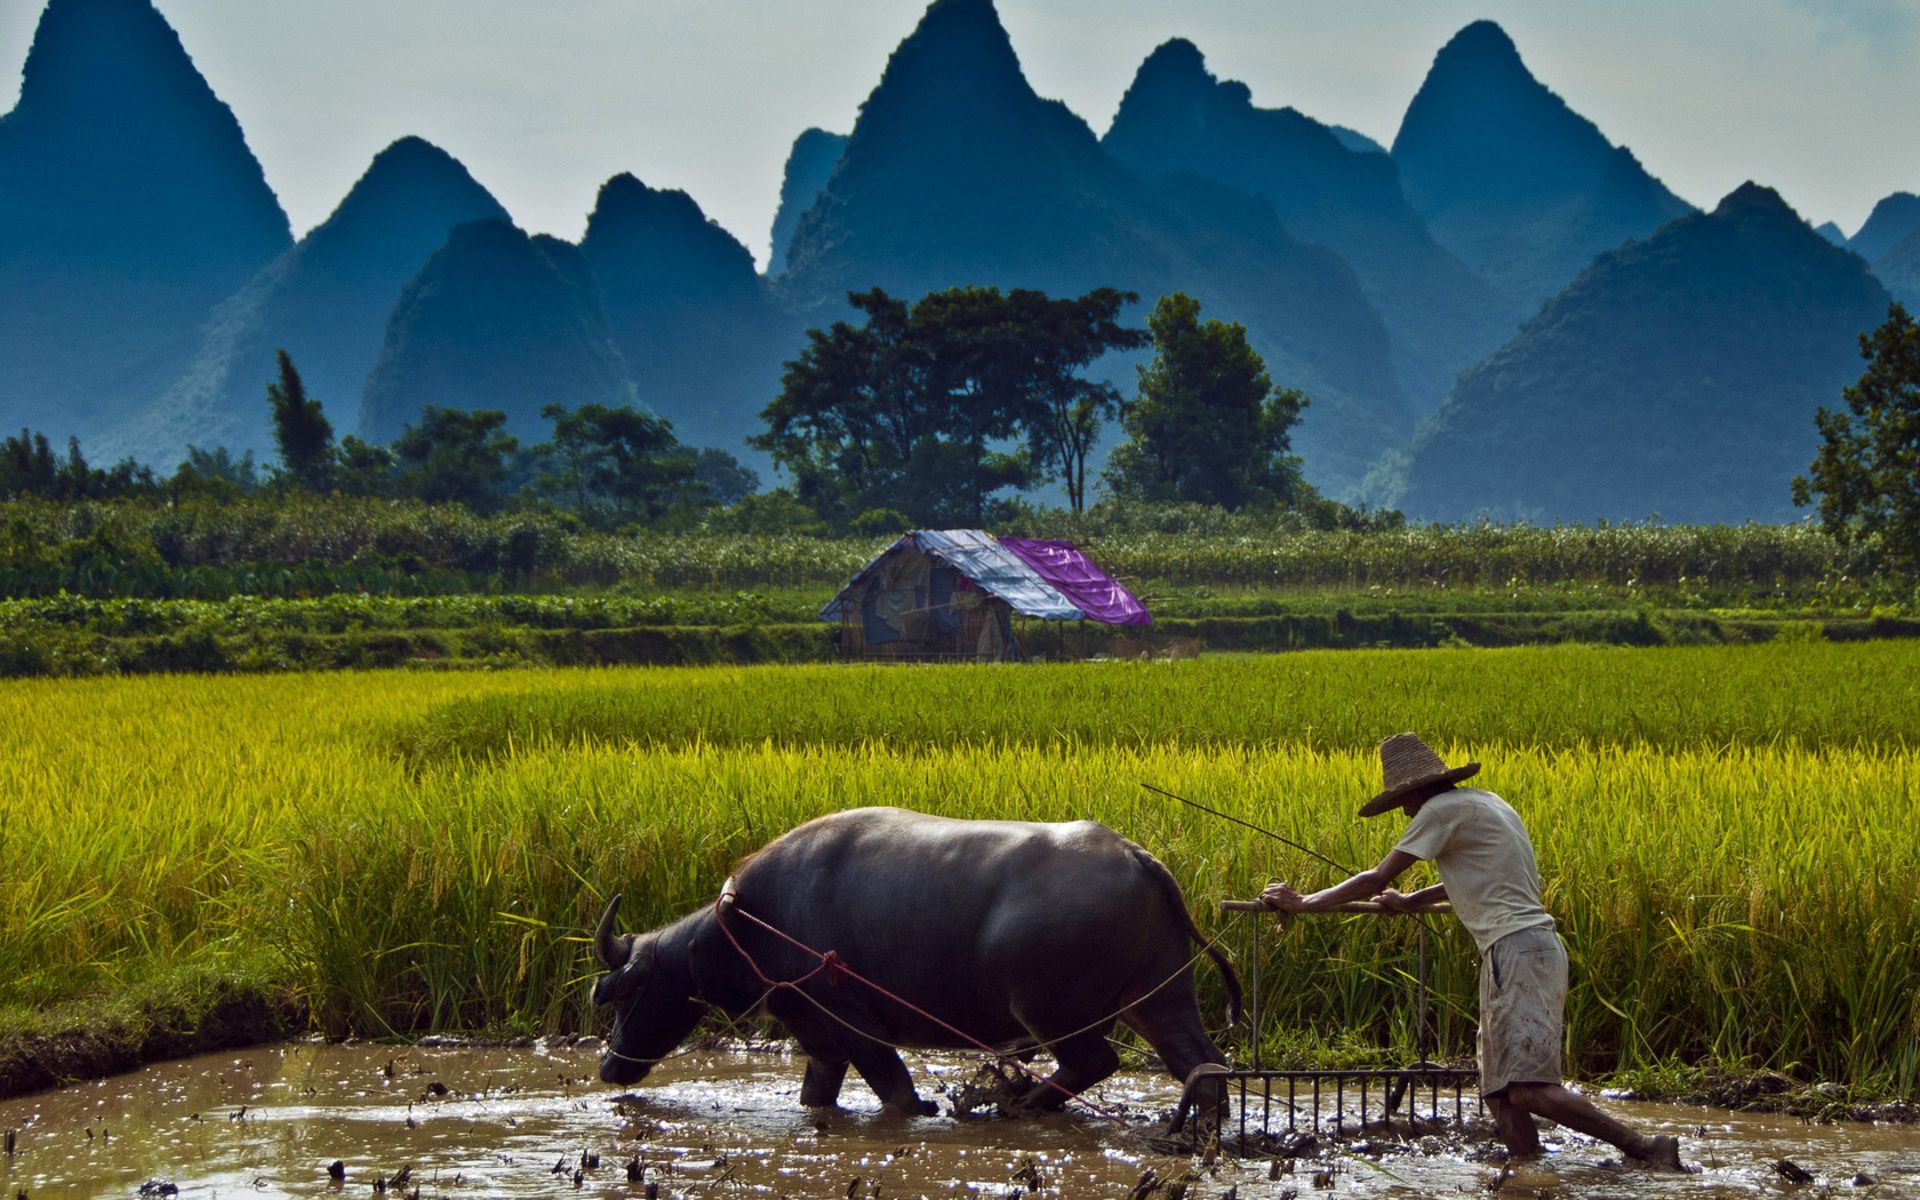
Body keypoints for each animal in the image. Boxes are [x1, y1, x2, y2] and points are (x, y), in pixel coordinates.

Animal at [587, 806, 1244, 1113]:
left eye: (626, 992)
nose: (609, 1067)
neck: (749, 922)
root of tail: (1135, 855)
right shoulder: (817, 1035)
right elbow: (816, 1094)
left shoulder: (854, 1022)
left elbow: (897, 1091)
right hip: (1159, 998)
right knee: (1200, 1064)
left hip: (1048, 1010)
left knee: (1094, 1061)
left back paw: (1021, 1104)